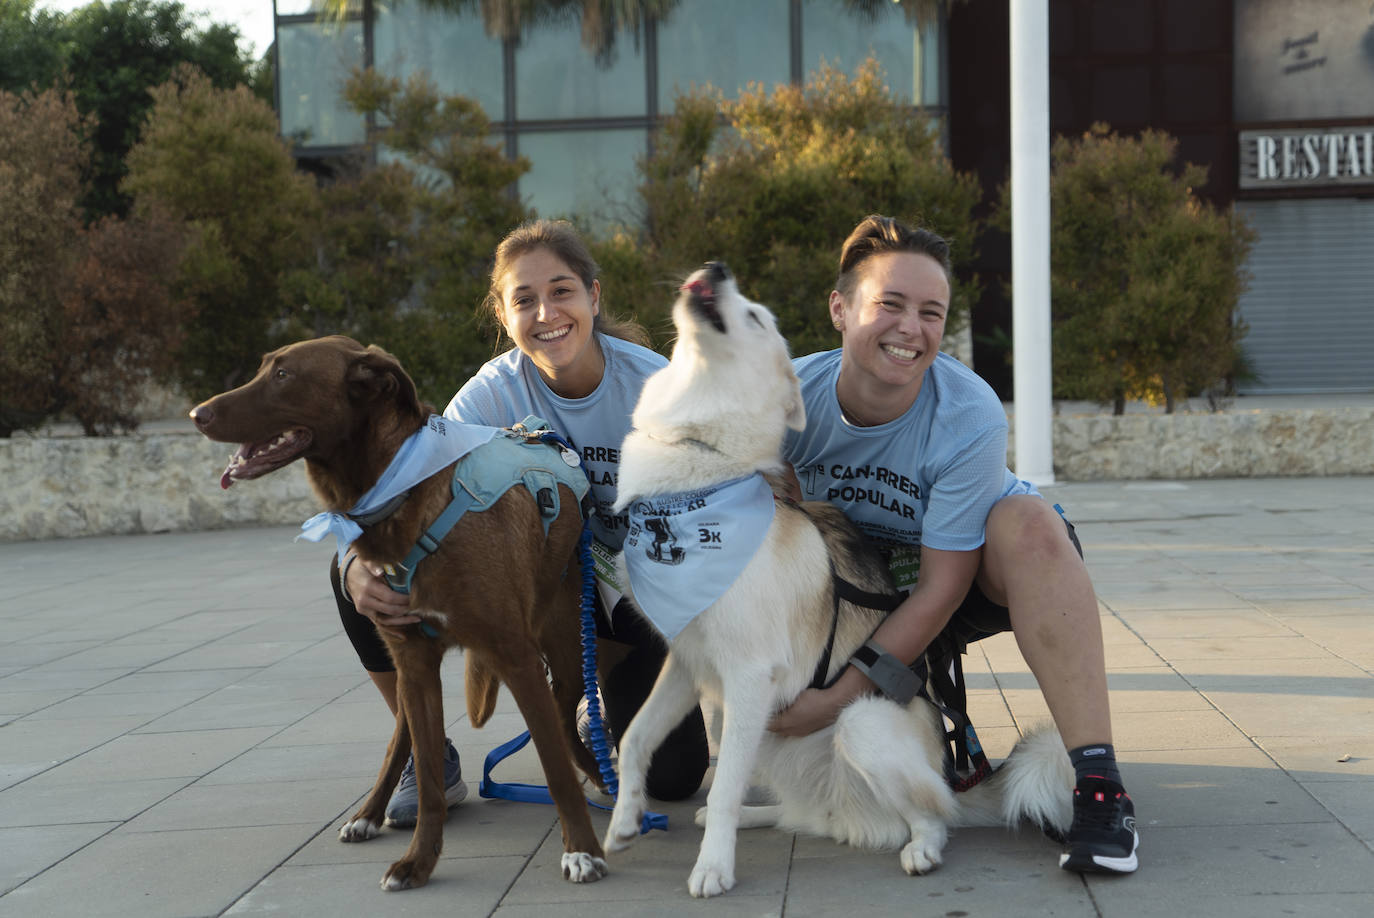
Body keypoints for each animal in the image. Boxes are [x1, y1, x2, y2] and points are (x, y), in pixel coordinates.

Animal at [190, 335, 610, 890]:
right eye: (264, 368)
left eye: (283, 375)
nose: (197, 413)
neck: (406, 493)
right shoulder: (414, 658)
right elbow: (429, 777)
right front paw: (419, 862)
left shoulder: (516, 656)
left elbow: (556, 770)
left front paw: (581, 850)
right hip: (421, 670)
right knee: (403, 737)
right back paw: (368, 814)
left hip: (565, 649)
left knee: (561, 723)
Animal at [604, 263, 1071, 896]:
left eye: (756, 317)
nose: (716, 269)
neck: (699, 468)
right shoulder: (690, 664)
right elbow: (635, 739)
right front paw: (624, 822)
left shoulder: (747, 677)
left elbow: (720, 787)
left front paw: (713, 867)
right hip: (745, 729)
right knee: (790, 806)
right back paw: (764, 815)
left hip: (859, 723)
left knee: (935, 816)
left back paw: (922, 848)